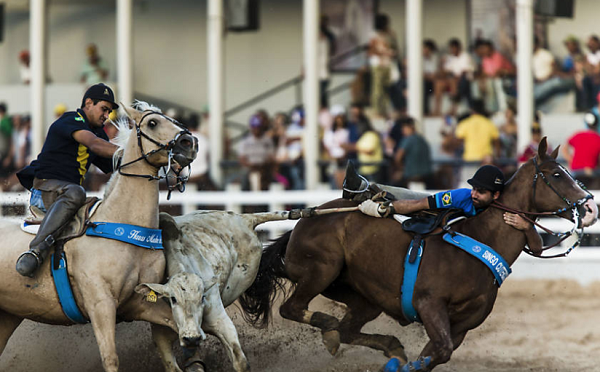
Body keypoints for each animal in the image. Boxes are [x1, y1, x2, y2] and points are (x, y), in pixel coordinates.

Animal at [0, 101, 198, 372]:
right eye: (152, 123)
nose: (190, 142)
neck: (122, 223)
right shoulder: (101, 304)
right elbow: (110, 358)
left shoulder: (141, 302)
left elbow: (177, 327)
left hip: (7, 316)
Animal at [238, 140, 596, 372]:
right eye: (556, 175)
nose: (590, 207)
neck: (479, 239)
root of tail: (304, 220)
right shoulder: (429, 305)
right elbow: (438, 350)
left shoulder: (461, 326)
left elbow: (437, 354)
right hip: (322, 268)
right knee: (295, 309)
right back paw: (328, 329)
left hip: (363, 297)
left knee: (349, 329)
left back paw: (384, 345)